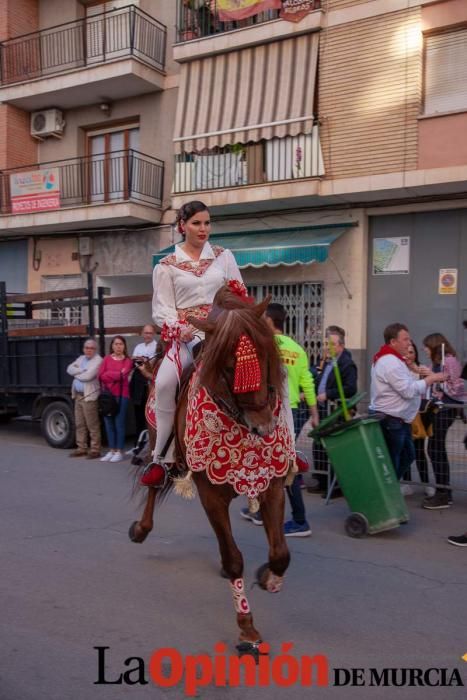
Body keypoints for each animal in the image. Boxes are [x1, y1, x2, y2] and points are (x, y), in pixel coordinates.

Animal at [130, 286, 294, 656]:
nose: (263, 426)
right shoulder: (210, 493)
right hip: (159, 437)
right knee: (154, 477)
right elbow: (233, 558)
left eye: (266, 357)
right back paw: (141, 527)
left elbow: (280, 552)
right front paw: (247, 629)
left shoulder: (271, 483)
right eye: (229, 367)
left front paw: (270, 577)